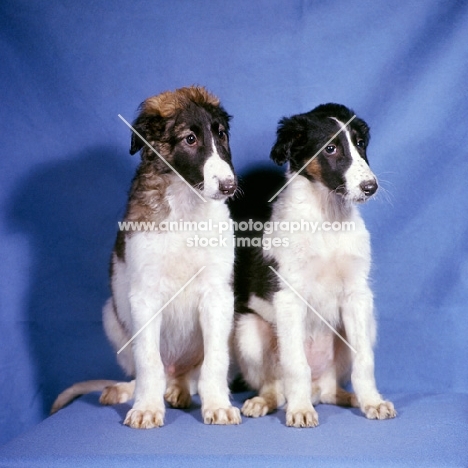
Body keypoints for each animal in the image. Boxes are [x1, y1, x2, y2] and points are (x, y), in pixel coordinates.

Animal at [51, 85, 241, 428]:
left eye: (221, 135)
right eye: (189, 139)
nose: (229, 186)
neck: (185, 209)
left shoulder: (218, 293)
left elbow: (215, 360)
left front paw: (218, 405)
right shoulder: (145, 295)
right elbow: (148, 361)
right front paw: (147, 409)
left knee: (190, 378)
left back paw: (179, 390)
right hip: (112, 316)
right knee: (148, 374)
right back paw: (128, 390)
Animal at [234, 103, 394, 428]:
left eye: (360, 143)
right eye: (330, 148)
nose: (370, 187)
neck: (327, 218)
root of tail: (318, 390)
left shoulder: (357, 295)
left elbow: (364, 362)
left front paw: (372, 402)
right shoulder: (289, 296)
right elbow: (297, 364)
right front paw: (300, 410)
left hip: (363, 328)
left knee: (334, 388)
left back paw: (352, 398)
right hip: (248, 332)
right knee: (275, 386)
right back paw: (268, 402)